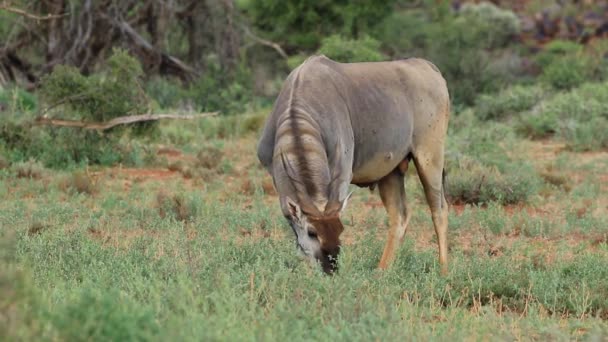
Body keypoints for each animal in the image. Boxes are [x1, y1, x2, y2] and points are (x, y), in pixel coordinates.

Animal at [258, 55, 452, 276]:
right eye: (312, 232)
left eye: (340, 229)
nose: (331, 267)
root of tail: (429, 67)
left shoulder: (341, 172)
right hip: (391, 172)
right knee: (400, 215)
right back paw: (381, 272)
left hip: (430, 158)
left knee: (439, 209)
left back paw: (443, 271)